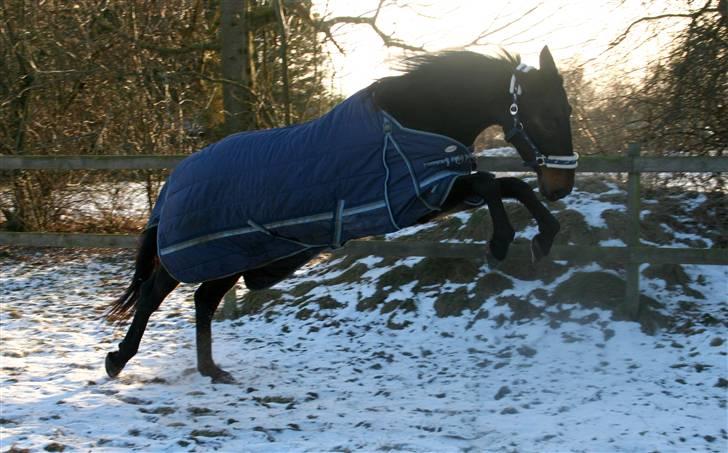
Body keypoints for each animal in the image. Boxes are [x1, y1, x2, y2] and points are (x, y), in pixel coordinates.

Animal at [105, 46, 576, 382]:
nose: (561, 186)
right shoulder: (419, 198)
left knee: (203, 300)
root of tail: (175, 180)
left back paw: (211, 370)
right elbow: (492, 183)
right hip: (200, 254)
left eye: (567, 112)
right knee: (153, 294)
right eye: (545, 115)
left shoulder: (436, 194)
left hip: (236, 256)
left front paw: (544, 236)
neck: (413, 120)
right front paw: (501, 242)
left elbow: (508, 185)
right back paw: (118, 360)